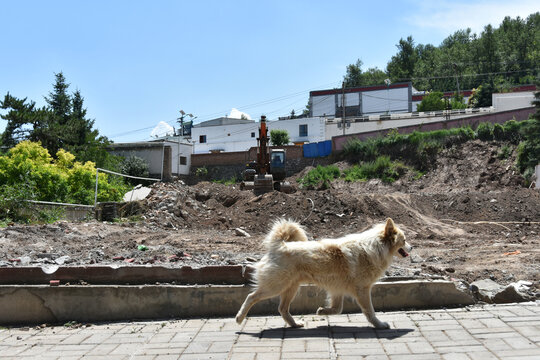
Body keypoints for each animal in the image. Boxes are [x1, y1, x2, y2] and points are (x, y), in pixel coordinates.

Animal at [234, 218, 412, 328]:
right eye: (404, 240)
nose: (412, 247)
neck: (374, 248)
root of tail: (279, 245)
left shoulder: (337, 289)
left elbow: (337, 309)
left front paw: (322, 311)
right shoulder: (363, 290)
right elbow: (370, 311)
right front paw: (379, 324)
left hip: (291, 288)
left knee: (282, 309)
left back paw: (294, 324)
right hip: (276, 286)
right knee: (251, 297)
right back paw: (239, 317)